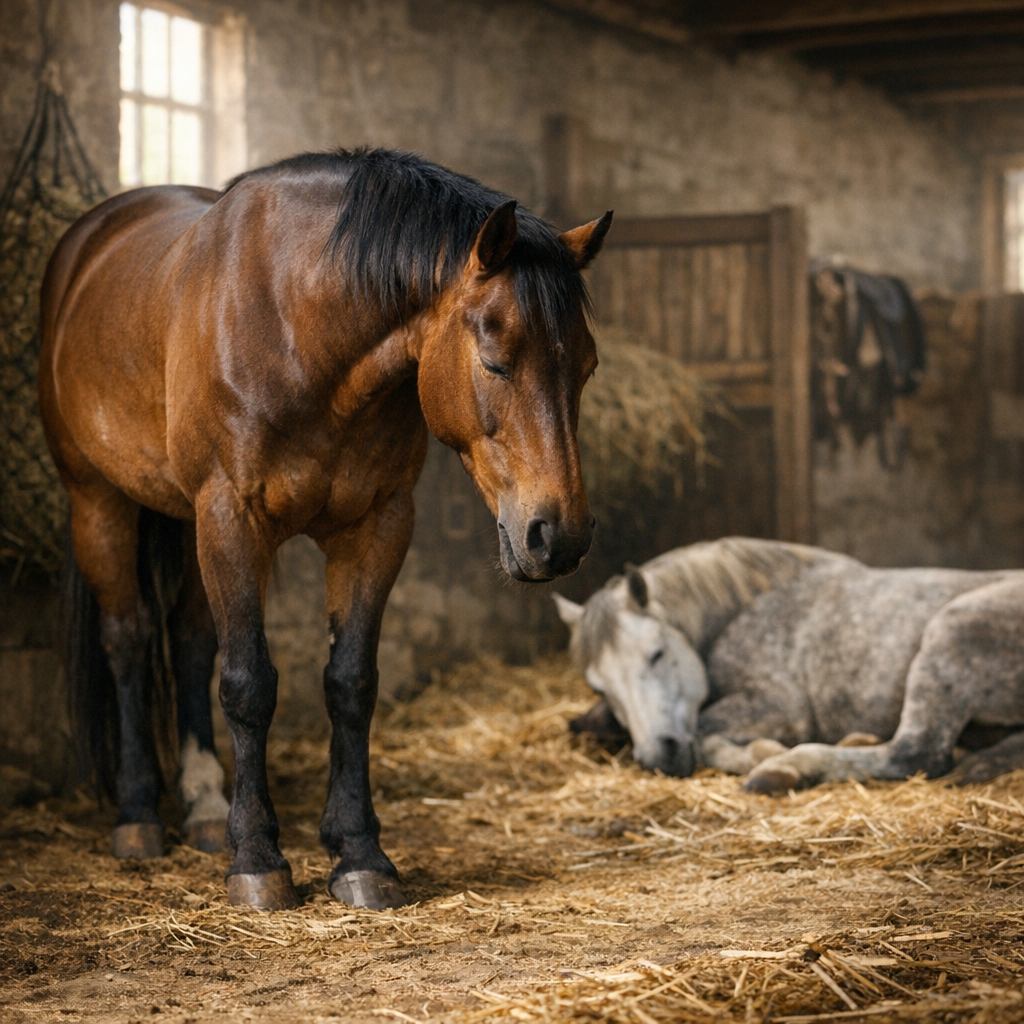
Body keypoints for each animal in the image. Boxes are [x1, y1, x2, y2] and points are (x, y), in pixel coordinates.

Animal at [39, 148, 611, 911]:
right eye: (495, 361)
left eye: (586, 366)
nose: (559, 536)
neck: (299, 328)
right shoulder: (231, 519)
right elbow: (248, 683)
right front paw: (258, 861)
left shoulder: (376, 527)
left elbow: (350, 683)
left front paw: (359, 854)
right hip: (99, 502)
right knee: (128, 642)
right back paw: (138, 815)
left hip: (185, 520)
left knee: (187, 642)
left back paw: (204, 807)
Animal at [555, 537, 1024, 791]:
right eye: (600, 689)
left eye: (655, 652)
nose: (659, 758)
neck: (740, 611)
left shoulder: (778, 706)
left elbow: (705, 730)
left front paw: (765, 755)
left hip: (950, 633)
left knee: (916, 753)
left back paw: (786, 769)